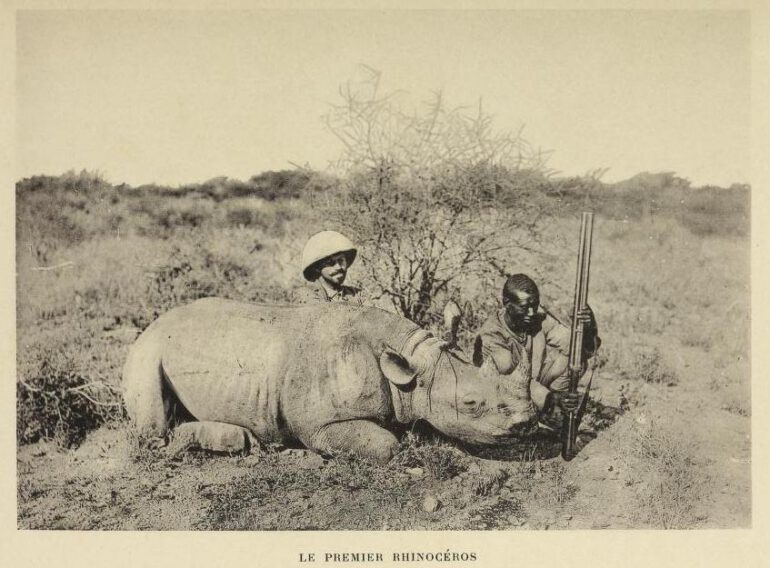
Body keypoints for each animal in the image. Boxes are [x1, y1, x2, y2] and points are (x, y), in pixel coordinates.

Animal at [123, 298, 537, 463]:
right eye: (471, 404)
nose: (527, 423)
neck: (410, 369)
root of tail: (155, 322)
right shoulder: (318, 424)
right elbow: (387, 446)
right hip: (147, 349)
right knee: (152, 427)